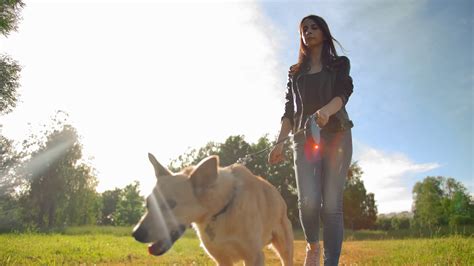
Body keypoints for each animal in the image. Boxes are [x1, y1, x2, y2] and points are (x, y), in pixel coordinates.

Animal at [131, 153, 292, 264]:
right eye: (148, 204)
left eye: (170, 204)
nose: (136, 234)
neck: (221, 209)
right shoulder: (222, 259)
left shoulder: (253, 256)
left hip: (285, 249)